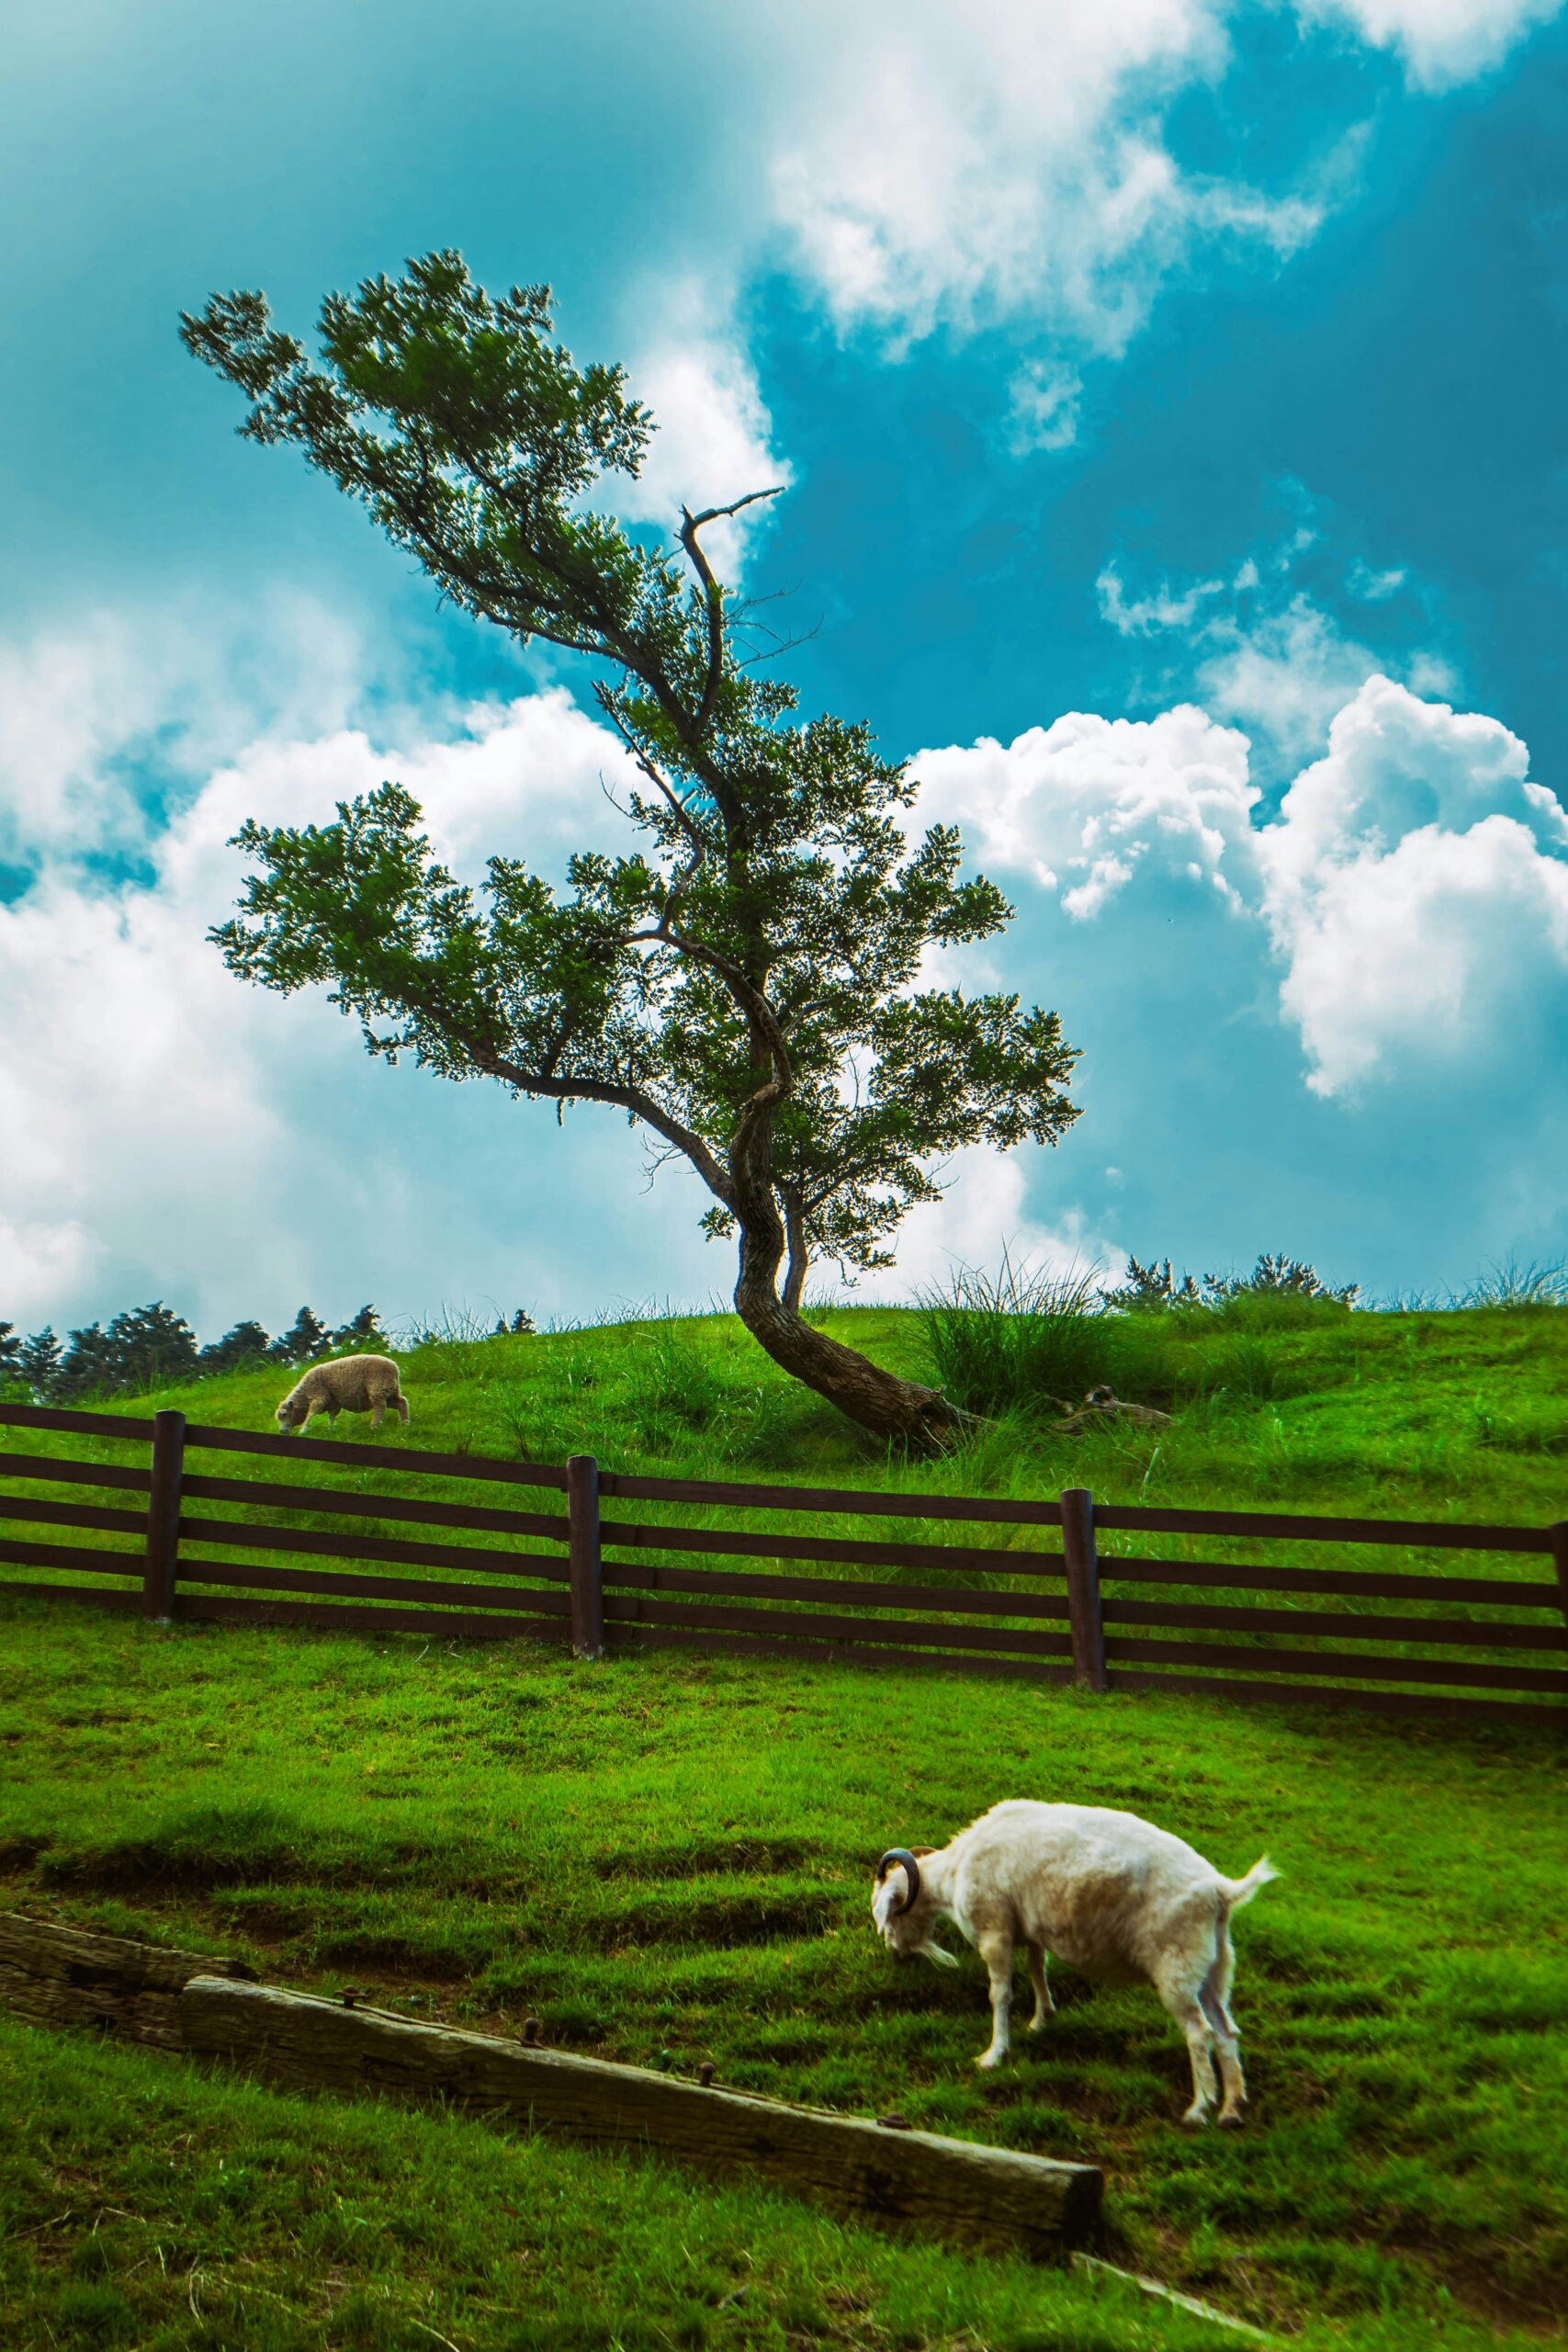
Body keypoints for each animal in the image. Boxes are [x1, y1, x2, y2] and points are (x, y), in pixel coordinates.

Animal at [276, 1363, 411, 1430]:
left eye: (284, 1414)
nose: (282, 1432)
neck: (304, 1394)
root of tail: (395, 1368)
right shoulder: (333, 1403)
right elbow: (332, 1416)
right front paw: (331, 1429)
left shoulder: (319, 1397)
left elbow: (311, 1414)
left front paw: (303, 1430)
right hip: (390, 1390)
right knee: (401, 1402)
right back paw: (405, 1423)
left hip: (378, 1387)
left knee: (380, 1406)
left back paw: (375, 1426)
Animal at [879, 1796, 1279, 2135]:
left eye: (890, 1913)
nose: (894, 1953)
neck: (954, 1874)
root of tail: (1220, 1891)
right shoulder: (1031, 1931)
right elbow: (1037, 1968)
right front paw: (1042, 2018)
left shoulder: (995, 1932)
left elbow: (1000, 1994)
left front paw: (993, 2055)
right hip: (1214, 1965)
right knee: (1226, 2031)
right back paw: (1231, 2108)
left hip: (1177, 1966)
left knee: (1200, 2033)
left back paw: (1199, 2109)